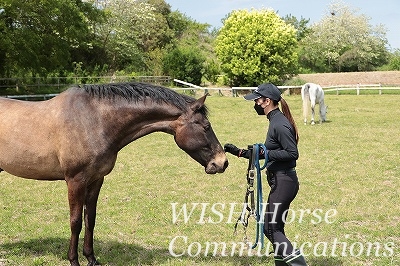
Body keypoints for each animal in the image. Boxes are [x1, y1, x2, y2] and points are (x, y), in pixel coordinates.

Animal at [0, 82, 228, 264]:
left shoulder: (96, 179)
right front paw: (73, 260)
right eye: (206, 126)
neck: (94, 120)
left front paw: (91, 258)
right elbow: (75, 221)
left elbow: (90, 219)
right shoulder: (75, 181)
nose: (222, 162)